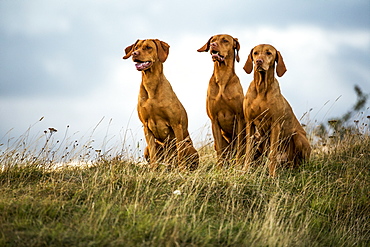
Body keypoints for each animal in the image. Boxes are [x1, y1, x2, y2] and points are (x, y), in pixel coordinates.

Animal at [123, 39, 199, 170]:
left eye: (148, 47)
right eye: (136, 47)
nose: (134, 54)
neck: (151, 84)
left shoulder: (176, 124)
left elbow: (180, 154)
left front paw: (182, 171)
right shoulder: (146, 127)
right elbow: (153, 155)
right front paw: (153, 170)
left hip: (189, 148)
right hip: (147, 149)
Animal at [198, 34, 247, 166]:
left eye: (225, 40)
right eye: (212, 40)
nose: (213, 45)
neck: (222, 77)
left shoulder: (239, 118)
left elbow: (240, 147)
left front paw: (238, 166)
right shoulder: (214, 120)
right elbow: (220, 150)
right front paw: (219, 167)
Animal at [244, 44, 310, 176]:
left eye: (269, 53)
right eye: (255, 53)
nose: (259, 61)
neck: (261, 87)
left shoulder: (275, 125)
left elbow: (272, 153)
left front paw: (272, 175)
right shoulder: (250, 123)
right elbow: (248, 150)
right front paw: (244, 170)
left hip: (298, 136)